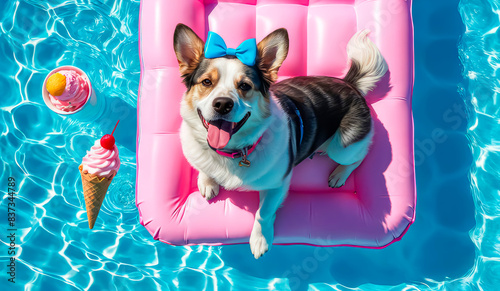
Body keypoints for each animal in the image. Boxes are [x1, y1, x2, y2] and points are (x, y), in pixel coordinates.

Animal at [174, 23, 388, 260]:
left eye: (245, 86)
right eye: (206, 82)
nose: (222, 104)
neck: (230, 153)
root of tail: (350, 85)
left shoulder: (278, 183)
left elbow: (263, 213)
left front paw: (260, 240)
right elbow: (202, 167)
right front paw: (207, 181)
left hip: (342, 147)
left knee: (358, 157)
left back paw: (339, 174)